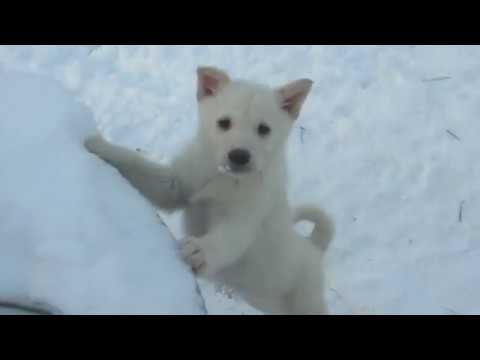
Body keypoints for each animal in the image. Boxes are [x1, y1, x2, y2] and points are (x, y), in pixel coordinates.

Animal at [85, 66, 334, 314]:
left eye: (264, 129)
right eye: (224, 123)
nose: (239, 156)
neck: (222, 177)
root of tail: (314, 248)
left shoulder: (245, 219)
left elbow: (225, 240)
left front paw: (199, 251)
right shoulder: (177, 185)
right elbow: (138, 165)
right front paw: (100, 146)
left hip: (305, 300)